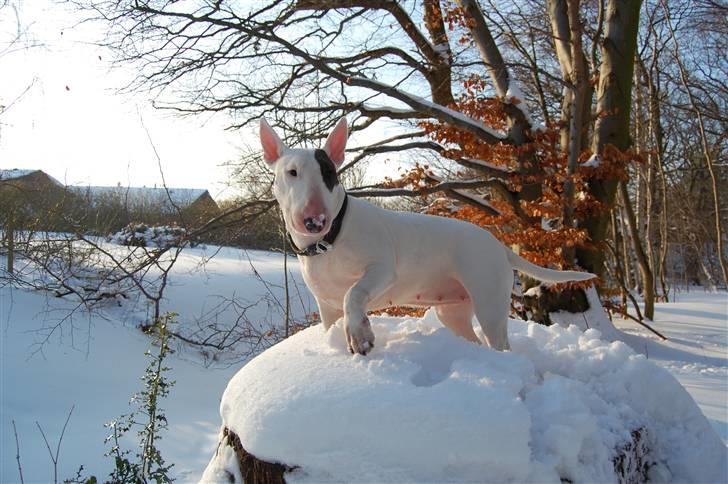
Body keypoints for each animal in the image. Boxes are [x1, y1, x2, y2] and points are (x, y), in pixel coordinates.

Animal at [258, 115, 596, 354]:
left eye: (329, 173)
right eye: (292, 173)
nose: (314, 220)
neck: (329, 242)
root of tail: (499, 246)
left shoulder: (382, 269)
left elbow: (354, 293)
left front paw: (361, 335)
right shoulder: (326, 306)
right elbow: (334, 315)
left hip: (489, 301)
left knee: (500, 342)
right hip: (453, 310)